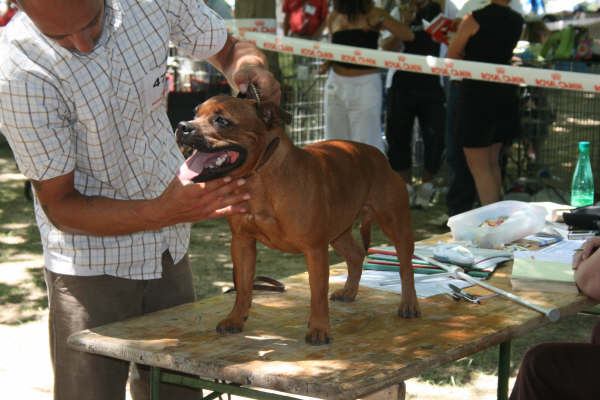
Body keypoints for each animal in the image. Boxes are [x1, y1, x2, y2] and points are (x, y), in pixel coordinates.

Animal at [175, 95, 420, 345]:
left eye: (222, 120)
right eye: (195, 112)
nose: (183, 126)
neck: (260, 179)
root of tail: (379, 156)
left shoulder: (315, 249)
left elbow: (318, 294)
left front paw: (319, 329)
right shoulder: (242, 243)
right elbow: (243, 287)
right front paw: (235, 319)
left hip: (395, 225)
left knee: (406, 267)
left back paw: (409, 304)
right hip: (338, 232)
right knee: (356, 255)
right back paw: (349, 292)